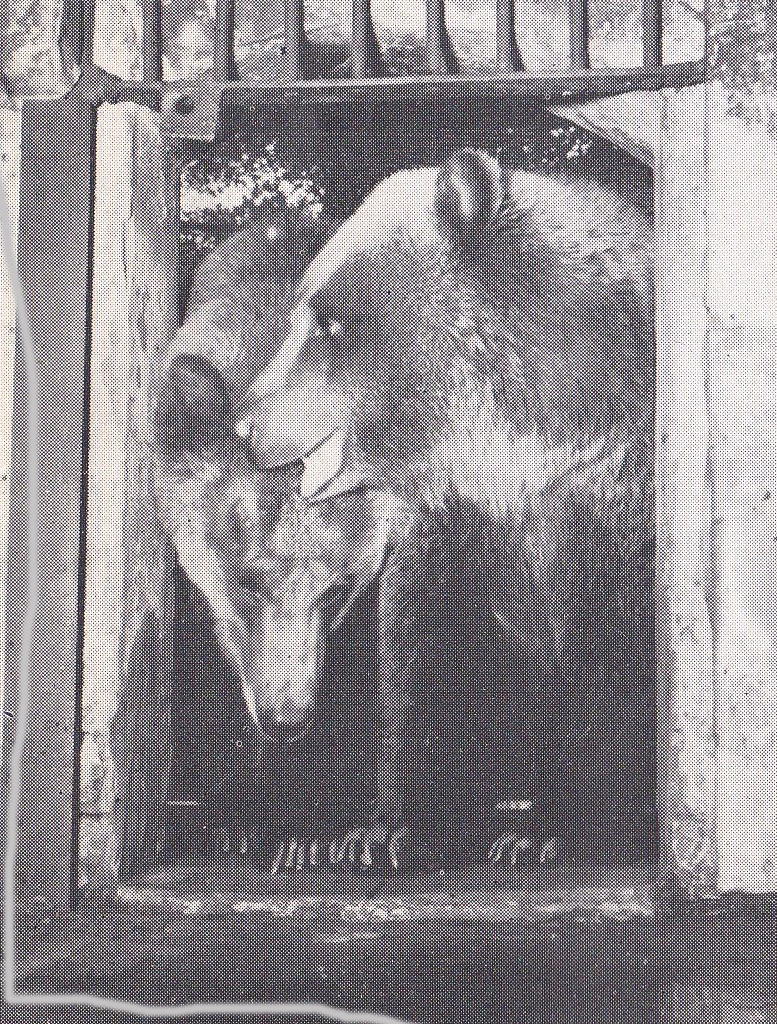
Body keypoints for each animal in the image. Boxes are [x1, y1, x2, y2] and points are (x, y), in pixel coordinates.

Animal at [154, 148, 656, 871]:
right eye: (305, 313)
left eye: (328, 322)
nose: (248, 424)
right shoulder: (456, 534)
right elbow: (426, 668)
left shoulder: (613, 497)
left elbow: (613, 664)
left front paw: (580, 832)